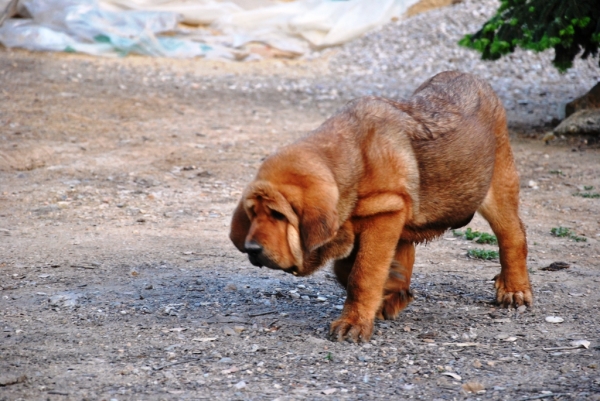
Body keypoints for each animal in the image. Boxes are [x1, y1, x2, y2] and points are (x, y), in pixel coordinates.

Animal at [231, 71, 536, 340]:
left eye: (278, 215)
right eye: (253, 213)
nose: (251, 249)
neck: (353, 165)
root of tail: (475, 79)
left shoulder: (385, 214)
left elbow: (362, 274)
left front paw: (353, 324)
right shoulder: (379, 219)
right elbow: (347, 270)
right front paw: (391, 290)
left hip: (499, 187)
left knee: (512, 236)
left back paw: (514, 289)